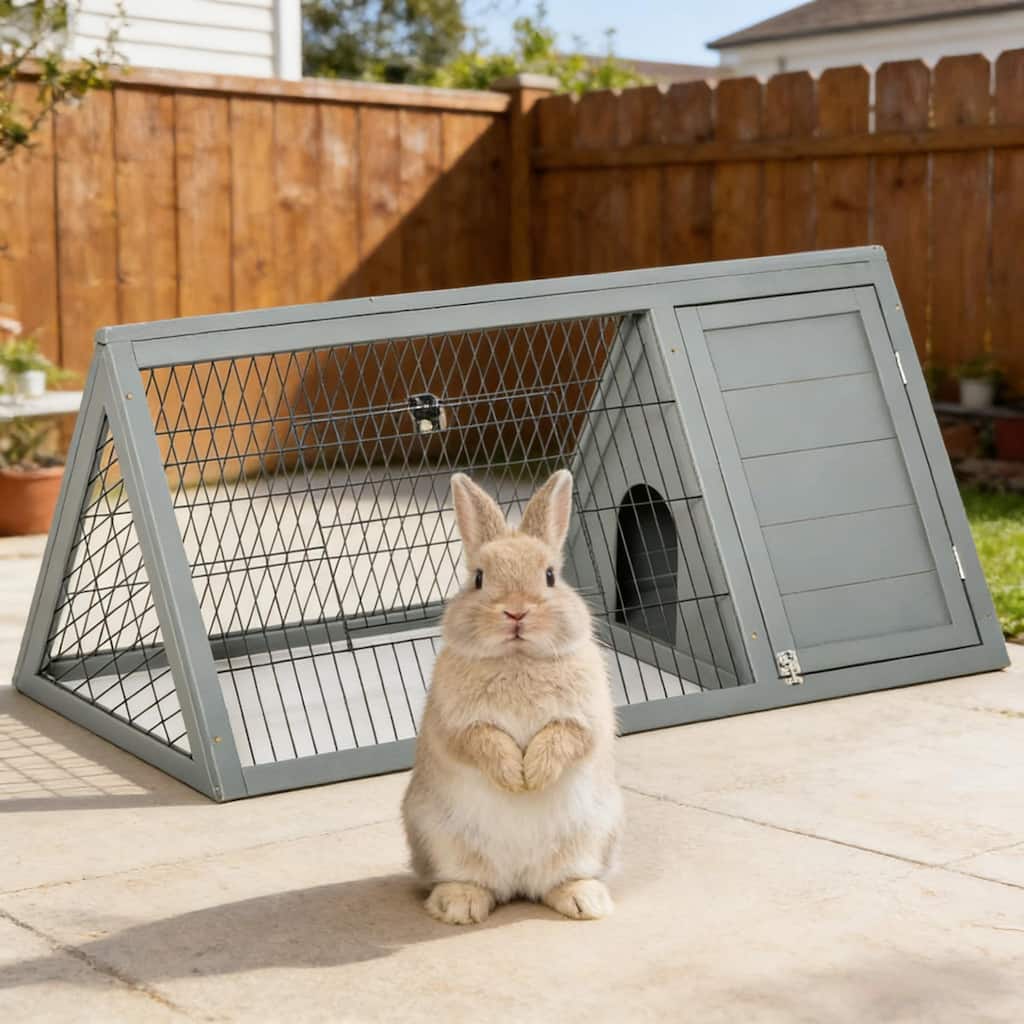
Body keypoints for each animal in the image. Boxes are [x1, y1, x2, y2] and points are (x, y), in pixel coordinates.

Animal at [402, 469, 623, 925]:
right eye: (479, 578)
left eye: (551, 576)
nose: (516, 612)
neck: (518, 659)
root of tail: (519, 882)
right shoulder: (456, 723)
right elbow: (482, 741)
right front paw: (514, 777)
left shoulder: (585, 717)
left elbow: (564, 737)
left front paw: (532, 776)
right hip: (439, 837)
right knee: (468, 880)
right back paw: (460, 905)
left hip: (593, 835)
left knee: (562, 879)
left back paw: (585, 902)